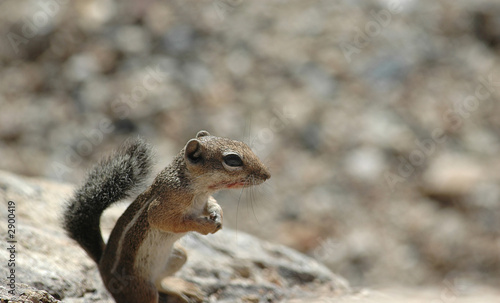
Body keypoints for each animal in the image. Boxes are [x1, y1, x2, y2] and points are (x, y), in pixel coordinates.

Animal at [64, 132, 272, 303]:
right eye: (232, 160)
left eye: (243, 144)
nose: (267, 175)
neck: (197, 188)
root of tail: (102, 265)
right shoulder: (162, 206)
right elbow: (169, 221)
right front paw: (204, 226)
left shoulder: (204, 200)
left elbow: (212, 204)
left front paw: (217, 215)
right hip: (140, 289)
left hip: (178, 255)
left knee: (160, 281)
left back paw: (180, 288)